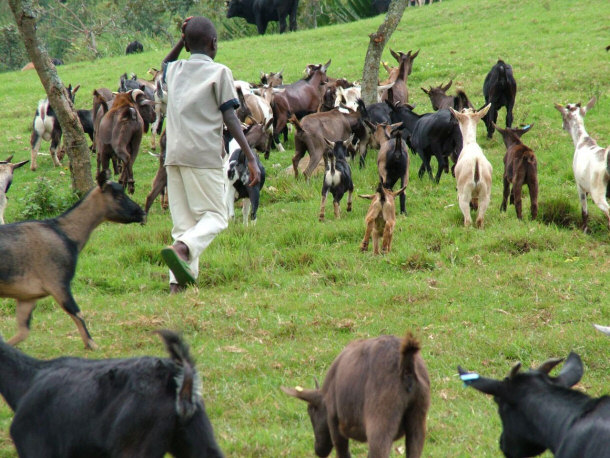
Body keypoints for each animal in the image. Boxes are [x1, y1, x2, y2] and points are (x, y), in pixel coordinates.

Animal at [0, 174, 145, 348]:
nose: (142, 213)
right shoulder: (57, 282)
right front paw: (92, 345)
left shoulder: (27, 296)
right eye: (119, 196)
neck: (65, 233)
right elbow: (77, 313)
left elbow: (23, 332)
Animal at [280, 330, 428, 456]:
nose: (318, 450)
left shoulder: (334, 423)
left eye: (311, 411)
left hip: (380, 424)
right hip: (417, 421)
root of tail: (406, 367)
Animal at [552, 98, 604, 231]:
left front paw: (584, 230)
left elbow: (584, 212)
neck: (582, 140)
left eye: (563, 115)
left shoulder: (579, 185)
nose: (562, 126)